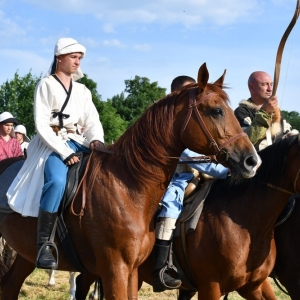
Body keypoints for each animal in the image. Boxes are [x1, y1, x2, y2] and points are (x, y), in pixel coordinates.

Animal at [0, 62, 258, 298]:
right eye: (217, 111)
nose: (251, 160)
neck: (128, 185)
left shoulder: (132, 271)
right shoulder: (115, 269)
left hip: (25, 253)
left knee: (10, 286)